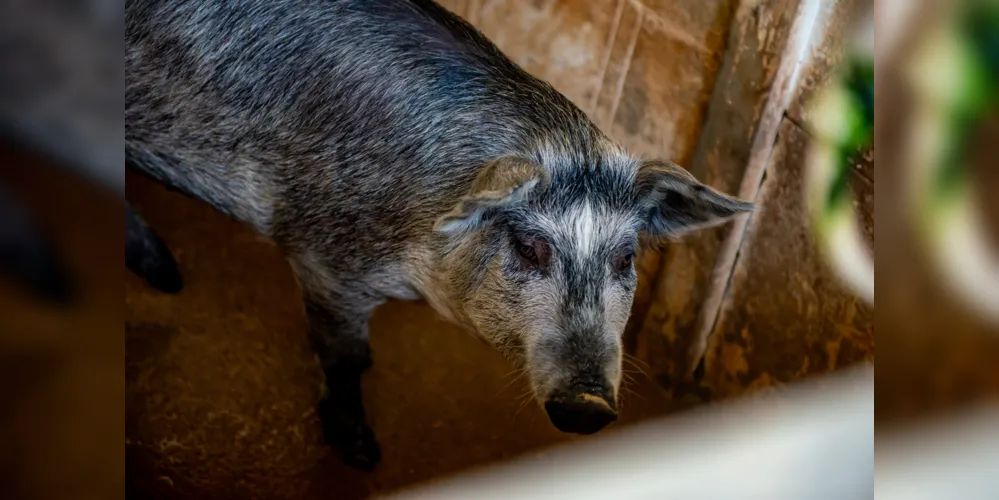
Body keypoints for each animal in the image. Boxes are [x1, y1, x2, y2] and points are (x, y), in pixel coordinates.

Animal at [125, 0, 752, 470]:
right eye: (529, 247)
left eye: (624, 257)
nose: (590, 404)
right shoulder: (324, 257)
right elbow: (346, 356)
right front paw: (363, 456)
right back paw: (168, 278)